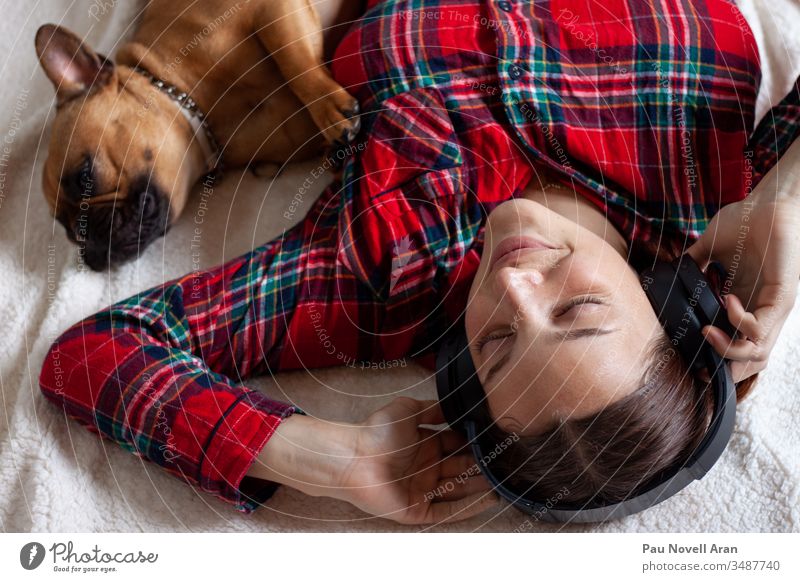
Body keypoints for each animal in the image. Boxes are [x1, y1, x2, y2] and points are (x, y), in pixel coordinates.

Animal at [35, 0, 366, 272]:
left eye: (84, 178)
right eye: (68, 232)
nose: (85, 244)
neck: (191, 97)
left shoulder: (269, 8)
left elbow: (294, 60)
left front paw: (329, 109)